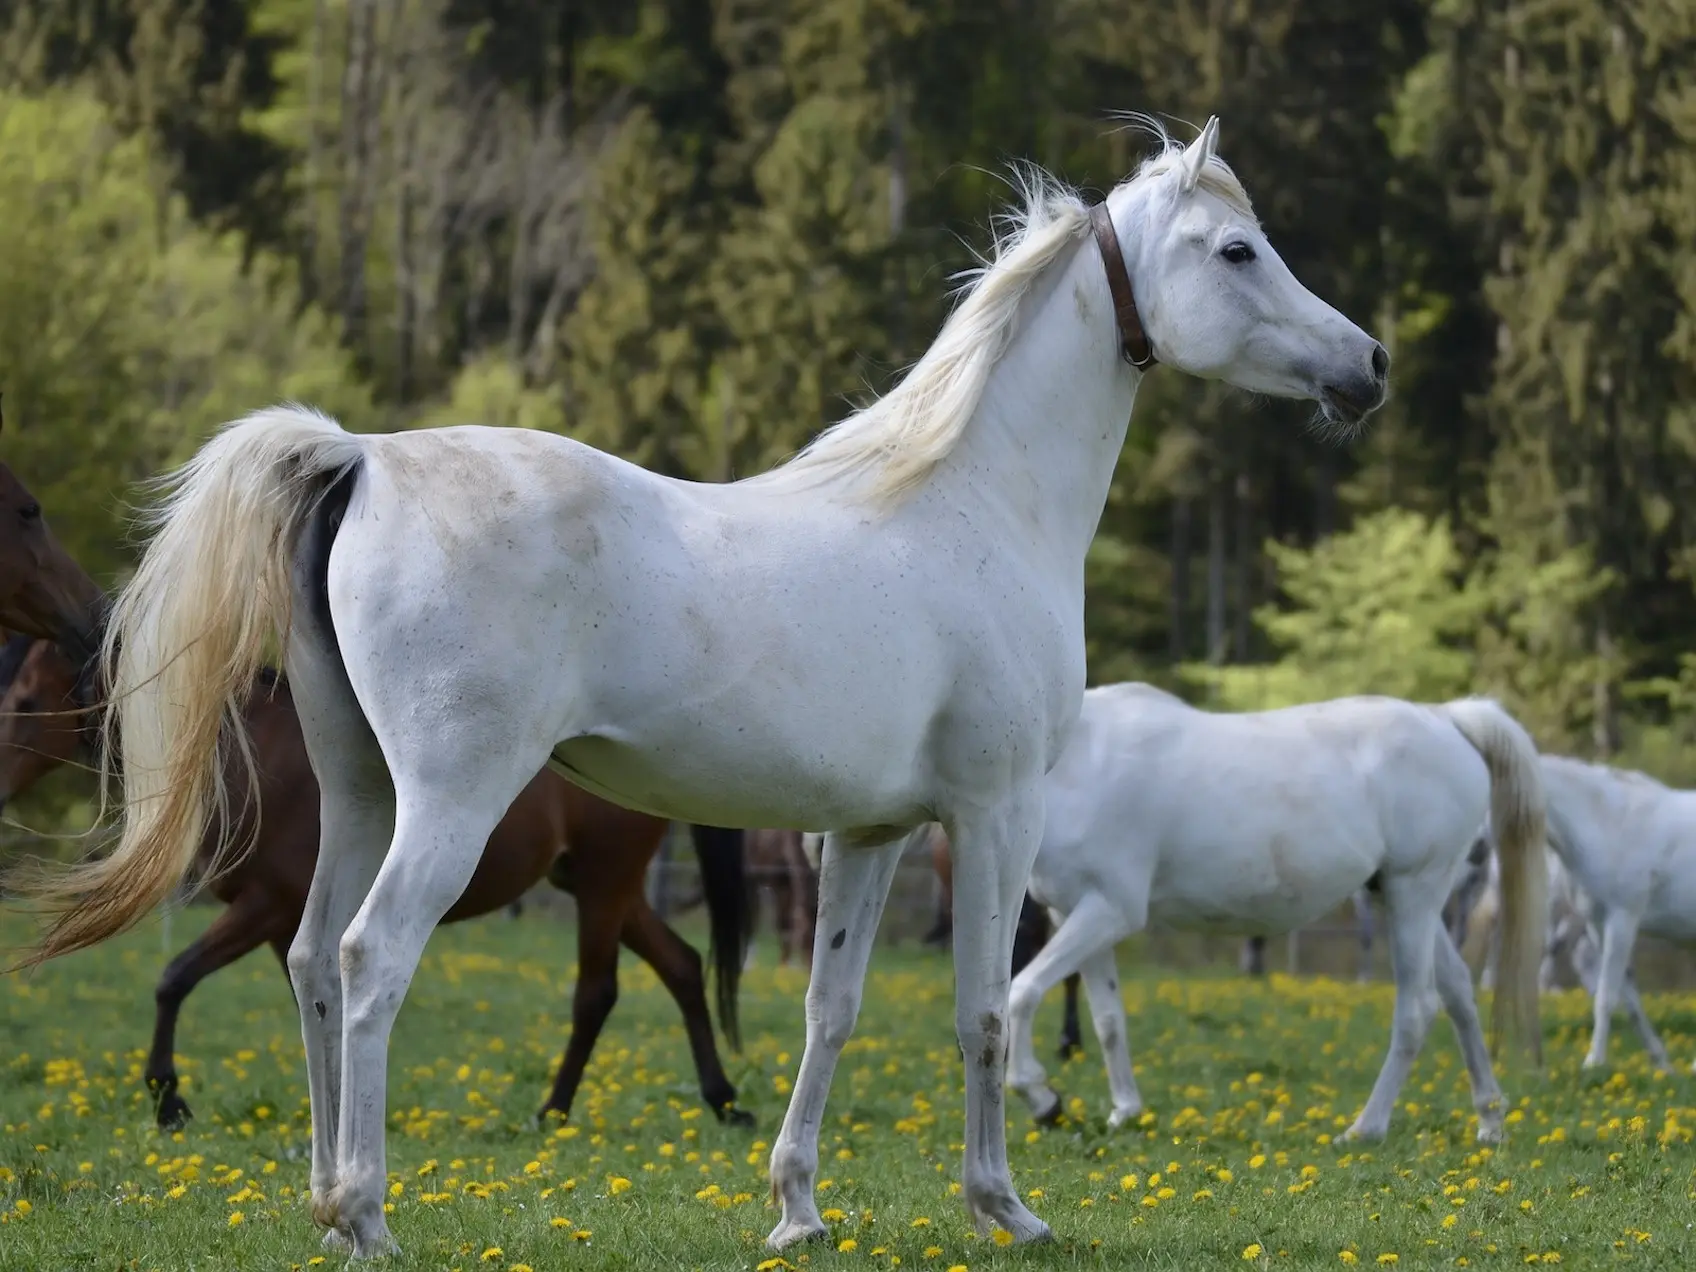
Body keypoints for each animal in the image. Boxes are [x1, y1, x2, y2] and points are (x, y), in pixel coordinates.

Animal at [0, 641, 756, 1132]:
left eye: (26, 699)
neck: (258, 752)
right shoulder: (285, 925)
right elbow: (314, 1003)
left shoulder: (264, 907)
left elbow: (174, 978)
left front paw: (168, 1099)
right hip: (605, 889)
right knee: (683, 966)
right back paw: (724, 1102)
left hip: (604, 886)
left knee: (596, 993)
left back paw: (555, 1111)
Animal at [1004, 688, 1553, 1146]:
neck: (1080, 766)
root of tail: (1445, 718)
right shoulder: (1077, 912)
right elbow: (1108, 1019)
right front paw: (1124, 1112)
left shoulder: (1109, 910)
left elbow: (1023, 992)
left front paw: (1041, 1097)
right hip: (1402, 899)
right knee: (1459, 992)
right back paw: (1490, 1122)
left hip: (1414, 892)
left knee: (1417, 1010)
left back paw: (1366, 1128)